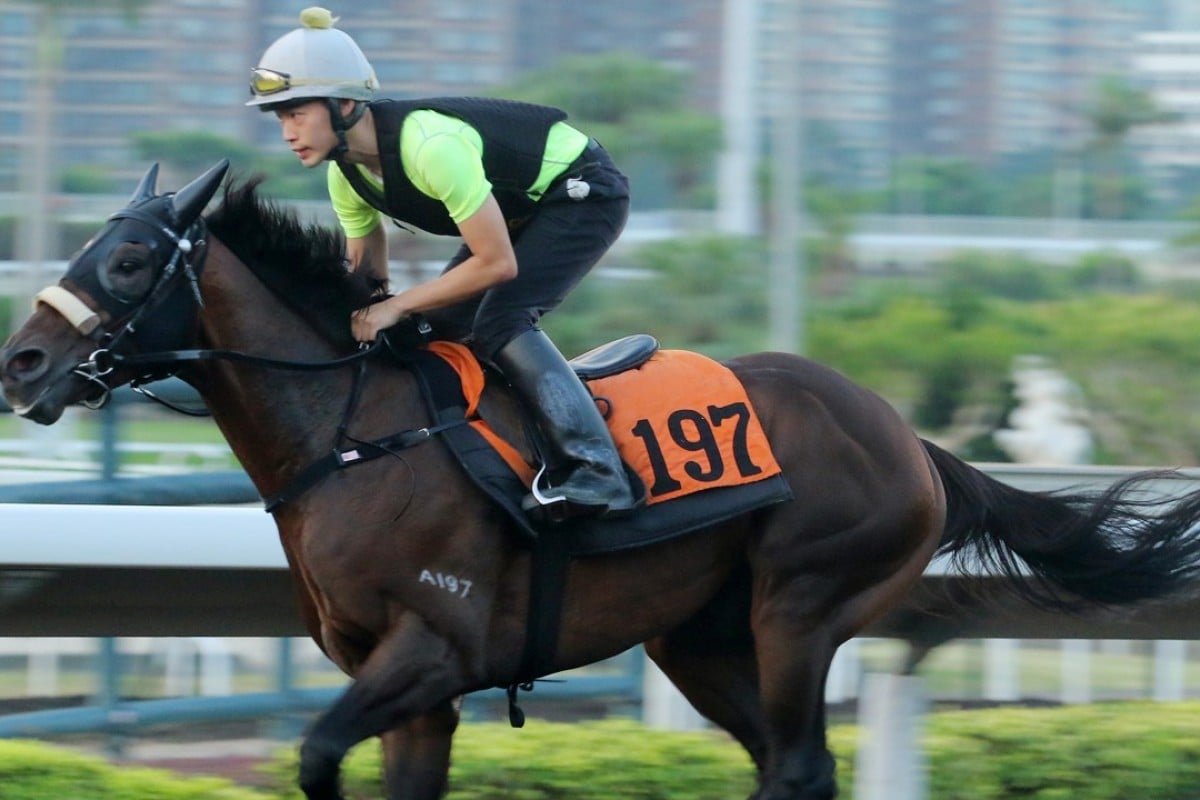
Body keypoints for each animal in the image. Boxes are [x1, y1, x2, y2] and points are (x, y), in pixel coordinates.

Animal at [2, 158, 1200, 800]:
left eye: (125, 260)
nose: (21, 363)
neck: (358, 435)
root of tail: (908, 437)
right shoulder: (408, 680)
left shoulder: (433, 651)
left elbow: (313, 751)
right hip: (699, 638)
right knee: (779, 761)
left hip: (802, 606)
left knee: (799, 763)